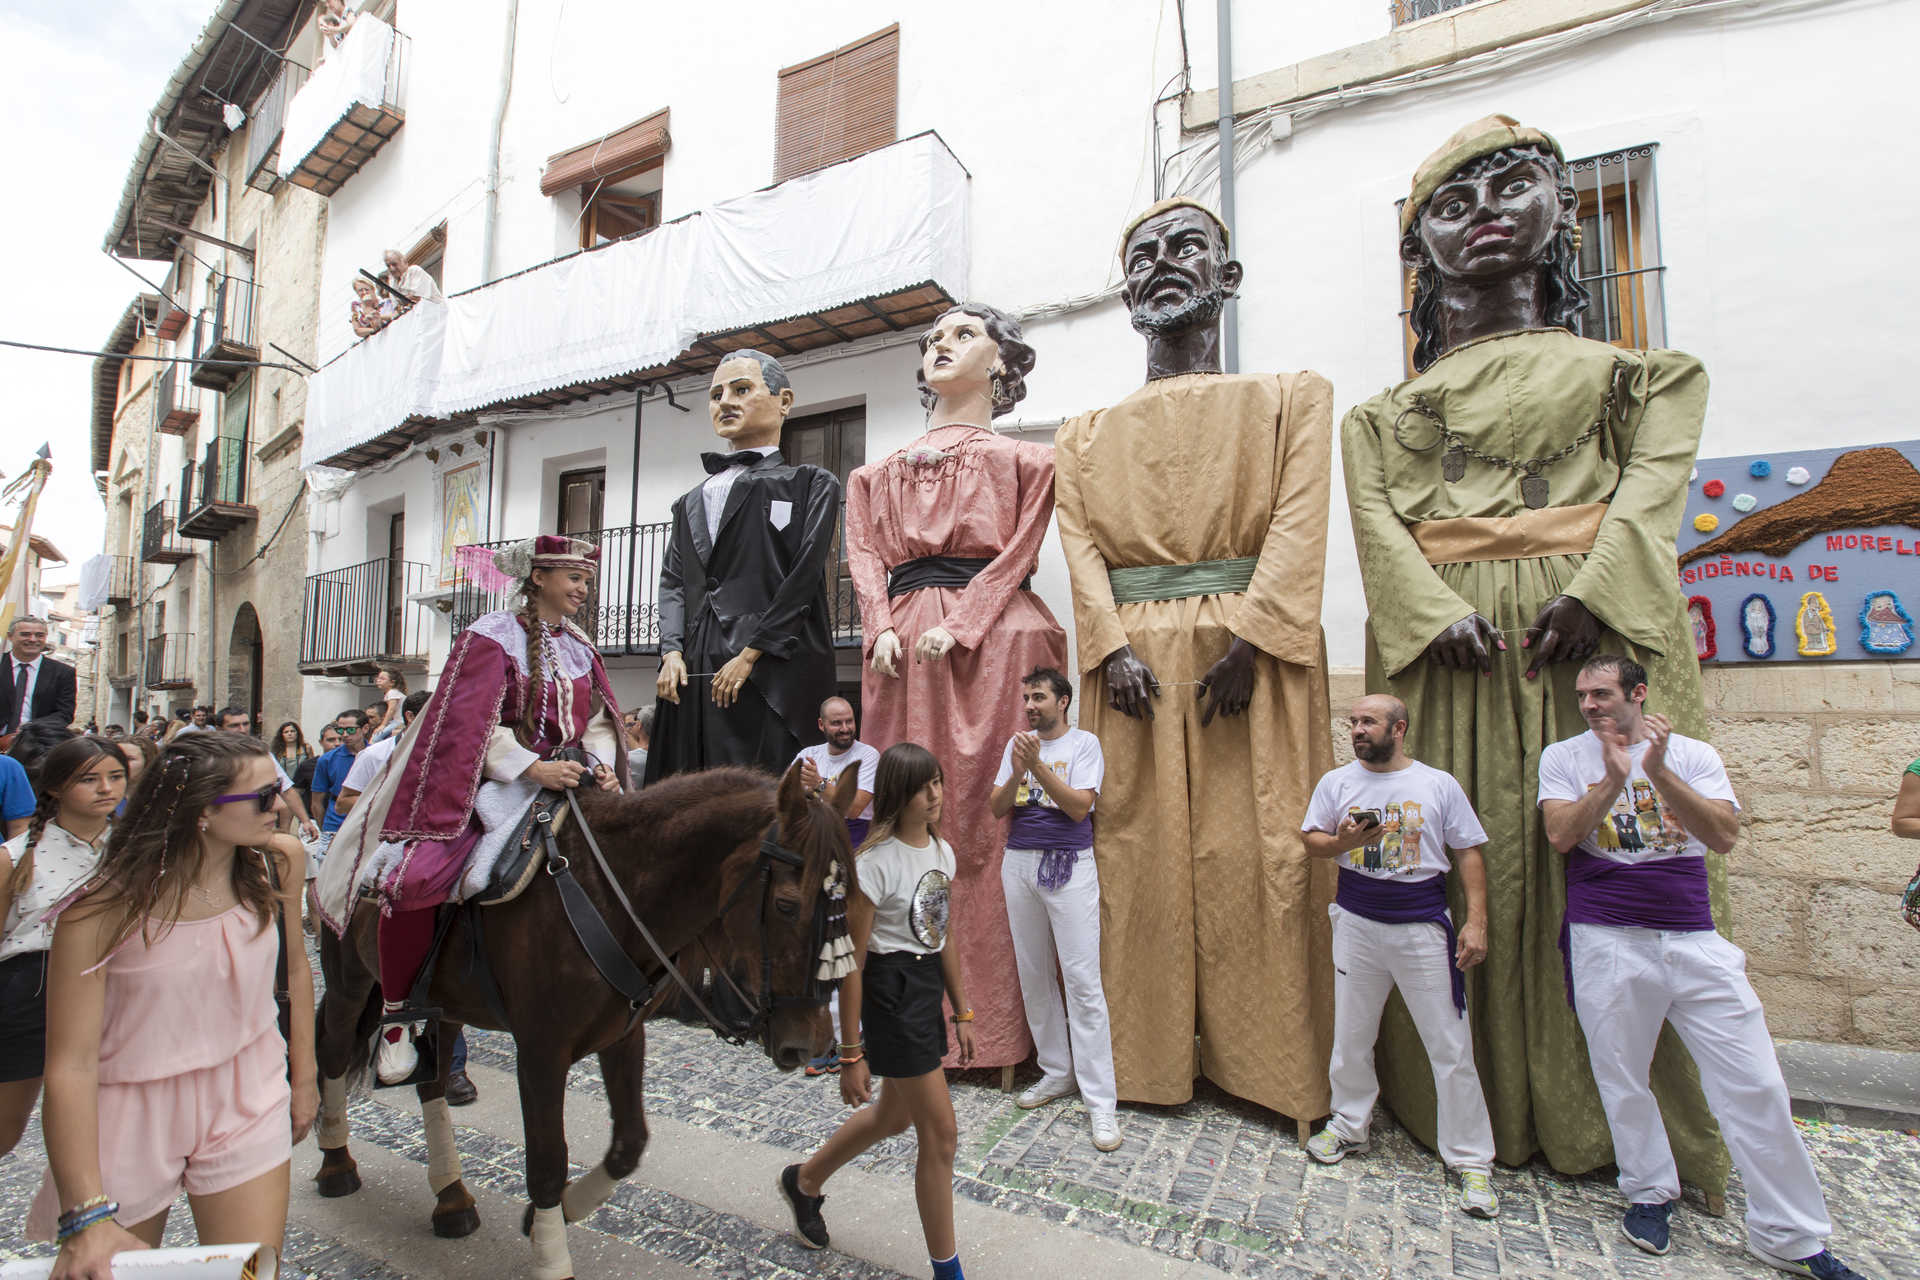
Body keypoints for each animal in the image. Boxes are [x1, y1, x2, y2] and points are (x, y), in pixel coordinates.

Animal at [314, 767, 856, 1274]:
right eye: (786, 905)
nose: (811, 1044)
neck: (608, 896)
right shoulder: (540, 1051)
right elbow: (547, 1163)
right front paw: (552, 1257)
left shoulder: (623, 1037)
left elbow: (629, 1144)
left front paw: (555, 1215)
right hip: (348, 980)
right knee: (334, 1054)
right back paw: (337, 1164)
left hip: (445, 1007)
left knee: (432, 1083)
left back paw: (451, 1199)